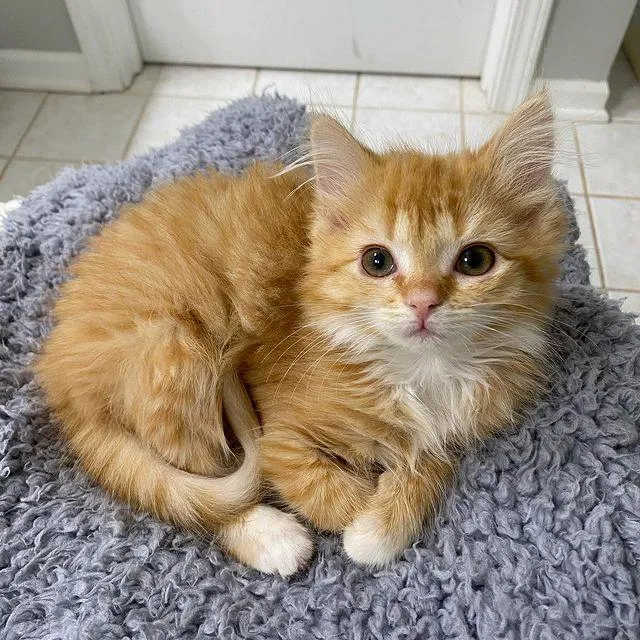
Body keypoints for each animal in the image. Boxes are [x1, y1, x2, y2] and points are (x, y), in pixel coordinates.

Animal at [36, 92, 564, 576]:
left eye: (475, 260)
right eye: (377, 261)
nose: (423, 302)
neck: (420, 372)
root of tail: (60, 374)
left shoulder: (449, 431)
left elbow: (427, 465)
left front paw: (385, 523)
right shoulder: (281, 432)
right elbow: (318, 485)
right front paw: (362, 524)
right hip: (176, 350)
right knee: (204, 490)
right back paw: (271, 538)